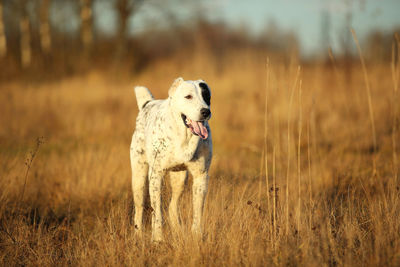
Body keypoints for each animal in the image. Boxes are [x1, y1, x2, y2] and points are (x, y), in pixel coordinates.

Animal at [130, 77, 212, 243]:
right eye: (188, 97)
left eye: (206, 96)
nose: (205, 111)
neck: (184, 137)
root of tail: (147, 103)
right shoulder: (156, 176)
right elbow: (157, 212)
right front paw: (157, 239)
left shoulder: (201, 176)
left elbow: (198, 210)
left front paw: (196, 236)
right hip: (138, 178)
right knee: (139, 208)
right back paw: (138, 235)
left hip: (179, 180)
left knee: (172, 207)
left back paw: (179, 231)